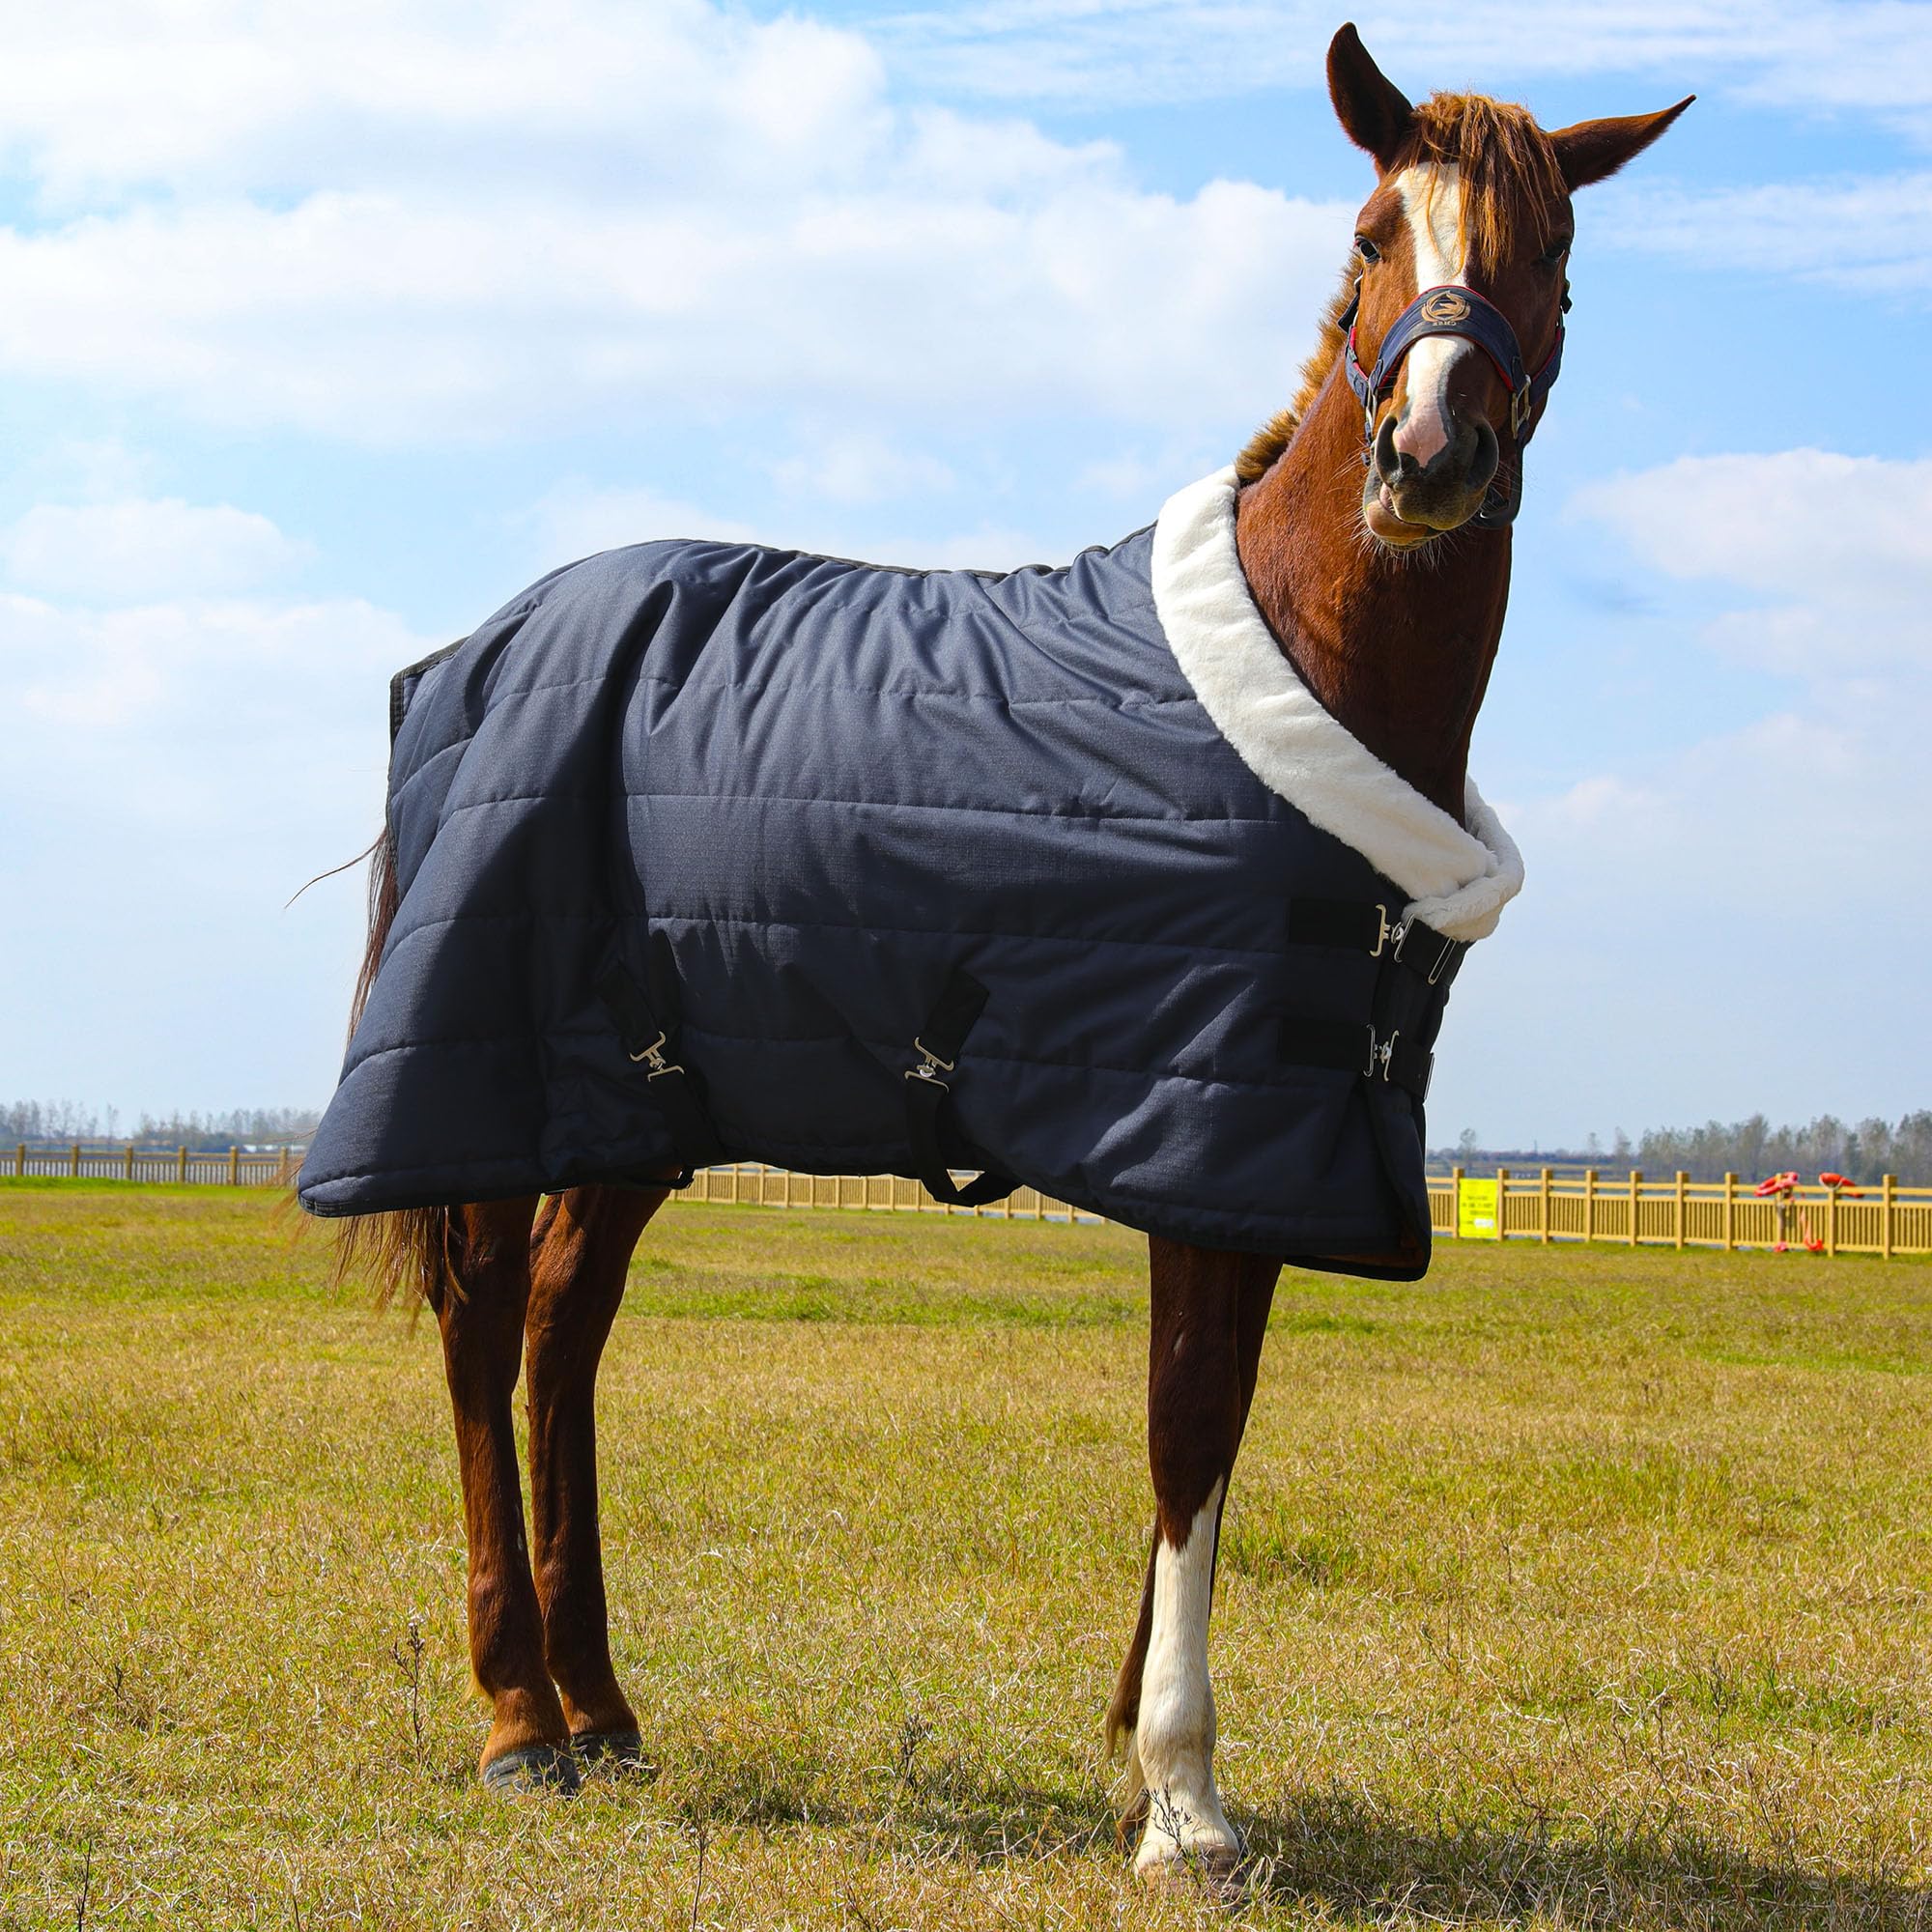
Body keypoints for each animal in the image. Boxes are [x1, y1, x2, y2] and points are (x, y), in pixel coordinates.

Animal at [314, 24, 1689, 1882]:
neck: (1299, 671)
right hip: (488, 1065)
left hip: (635, 1101)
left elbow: (1223, 1426)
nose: (1429, 455)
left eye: (1552, 251)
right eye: (1367, 234)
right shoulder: (1202, 1120)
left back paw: (602, 1707)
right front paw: (1179, 1796)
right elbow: (1187, 1425)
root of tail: (479, 644)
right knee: (477, 1325)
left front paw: (1143, 1759)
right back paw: (520, 1718)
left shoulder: (1274, 1143)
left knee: (559, 1332)